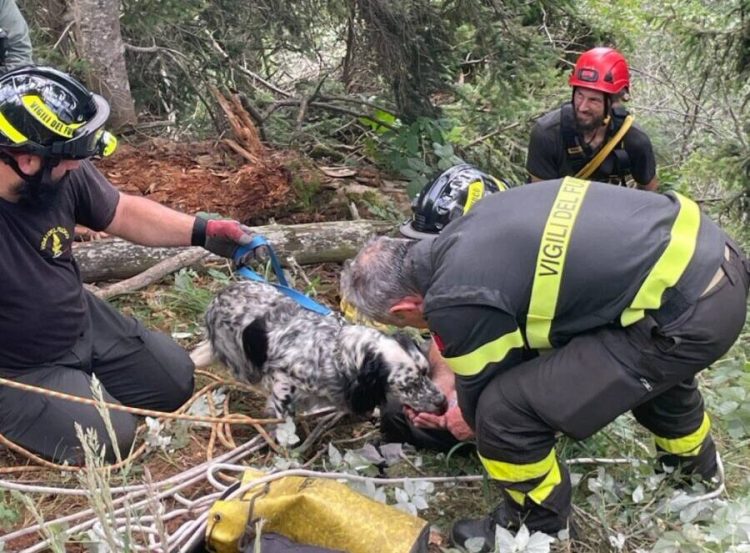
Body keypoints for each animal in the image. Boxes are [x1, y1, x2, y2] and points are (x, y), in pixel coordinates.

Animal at [192, 280, 446, 418]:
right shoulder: (282, 381)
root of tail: (221, 294)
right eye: (408, 385)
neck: (335, 355)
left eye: (426, 372)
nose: (443, 403)